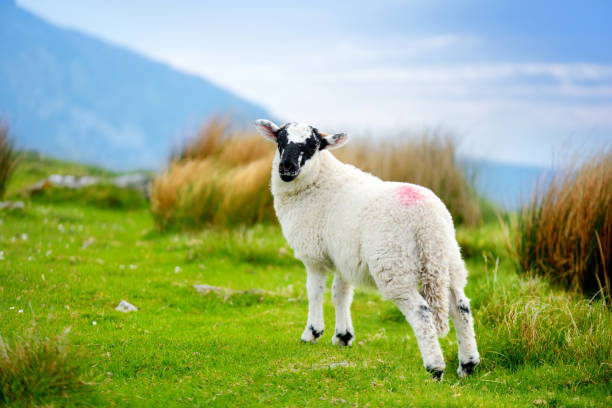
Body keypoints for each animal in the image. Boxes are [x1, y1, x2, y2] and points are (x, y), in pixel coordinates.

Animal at [253, 119, 478, 380]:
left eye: (312, 146)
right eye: (280, 140)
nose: (287, 167)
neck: (318, 181)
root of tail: (427, 220)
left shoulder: (314, 256)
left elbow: (315, 292)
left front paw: (312, 333)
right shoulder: (343, 256)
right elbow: (340, 293)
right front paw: (343, 336)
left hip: (394, 265)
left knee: (421, 312)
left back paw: (435, 368)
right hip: (448, 261)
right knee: (461, 307)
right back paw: (467, 365)